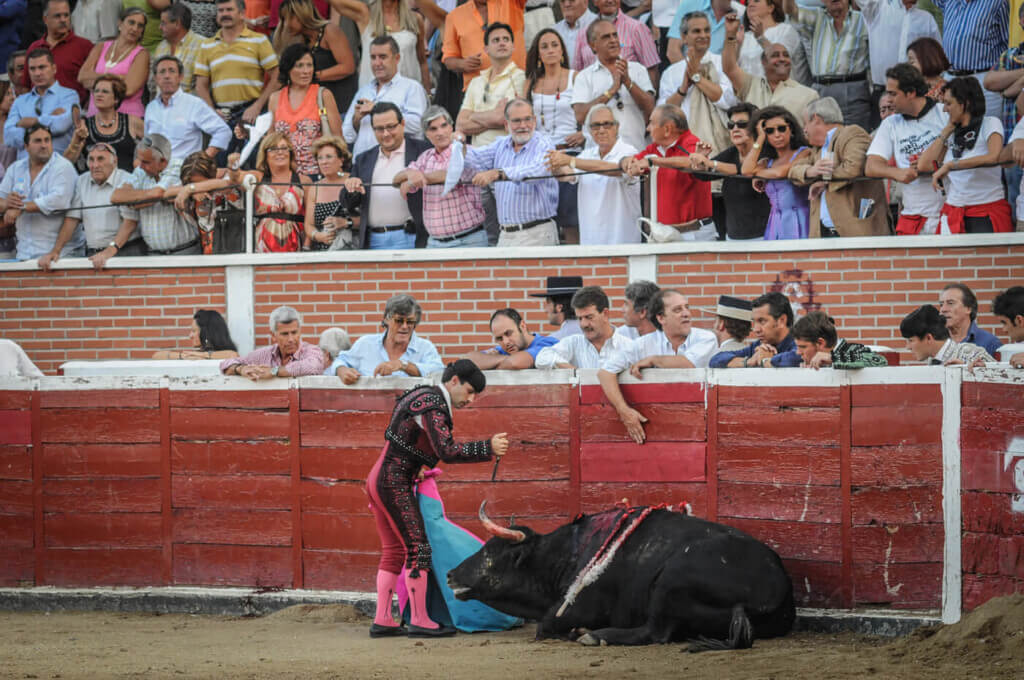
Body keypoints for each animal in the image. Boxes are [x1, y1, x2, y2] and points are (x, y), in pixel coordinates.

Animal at [450, 503, 798, 647]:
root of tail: (777, 588)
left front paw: (578, 631)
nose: (451, 574)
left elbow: (545, 626)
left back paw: (594, 636)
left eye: (491, 553)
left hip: (672, 579)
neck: (565, 555)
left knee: (656, 632)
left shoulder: (572, 608)